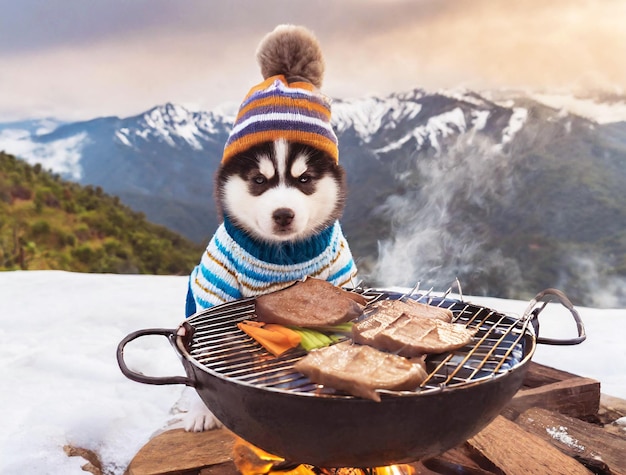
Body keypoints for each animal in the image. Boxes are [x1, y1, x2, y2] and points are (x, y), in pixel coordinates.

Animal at [180, 23, 356, 432]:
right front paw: (200, 409)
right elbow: (204, 349)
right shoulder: (215, 284)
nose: (283, 214)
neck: (284, 253)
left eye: (304, 179)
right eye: (259, 181)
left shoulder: (342, 275)